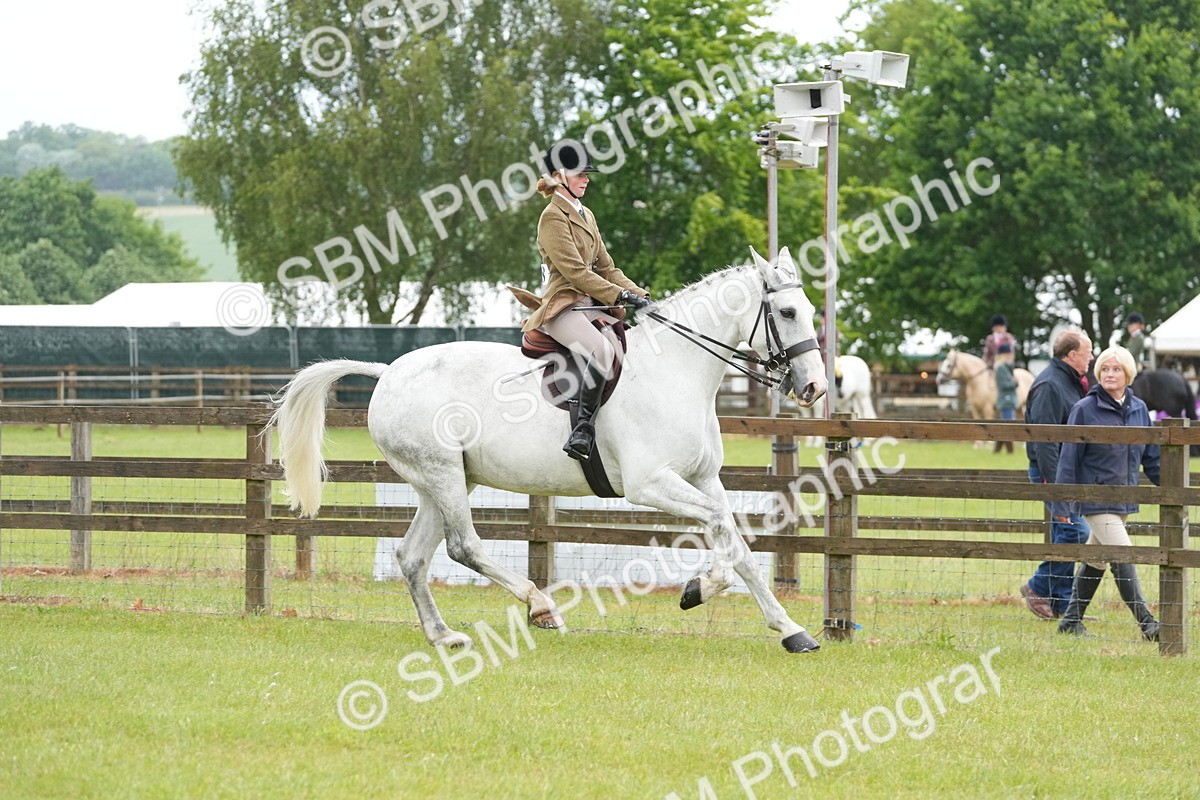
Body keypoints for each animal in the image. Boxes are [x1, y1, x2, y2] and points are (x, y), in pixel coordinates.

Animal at [269, 248, 829, 653]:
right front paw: (700, 588)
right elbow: (719, 532)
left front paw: (791, 631)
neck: (676, 370)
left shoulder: (703, 478)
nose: (814, 387)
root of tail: (388, 372)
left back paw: (444, 635)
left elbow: (739, 545)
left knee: (413, 556)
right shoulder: (650, 484)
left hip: (440, 480)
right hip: (443, 475)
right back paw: (540, 606)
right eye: (786, 311)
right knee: (464, 547)